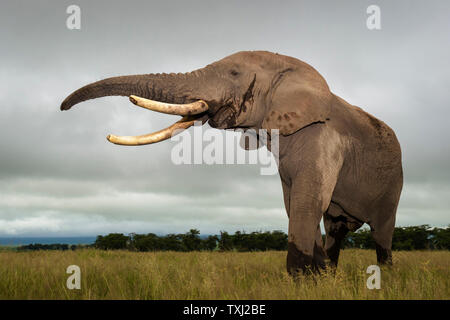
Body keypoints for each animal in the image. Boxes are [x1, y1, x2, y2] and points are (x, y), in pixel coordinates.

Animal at [61, 50, 402, 276]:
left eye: (235, 74)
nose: (63, 108)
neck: (295, 70)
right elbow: (294, 203)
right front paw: (315, 281)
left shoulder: (323, 137)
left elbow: (307, 203)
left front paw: (305, 282)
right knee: (335, 230)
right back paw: (332, 273)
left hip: (394, 183)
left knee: (381, 233)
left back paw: (385, 277)